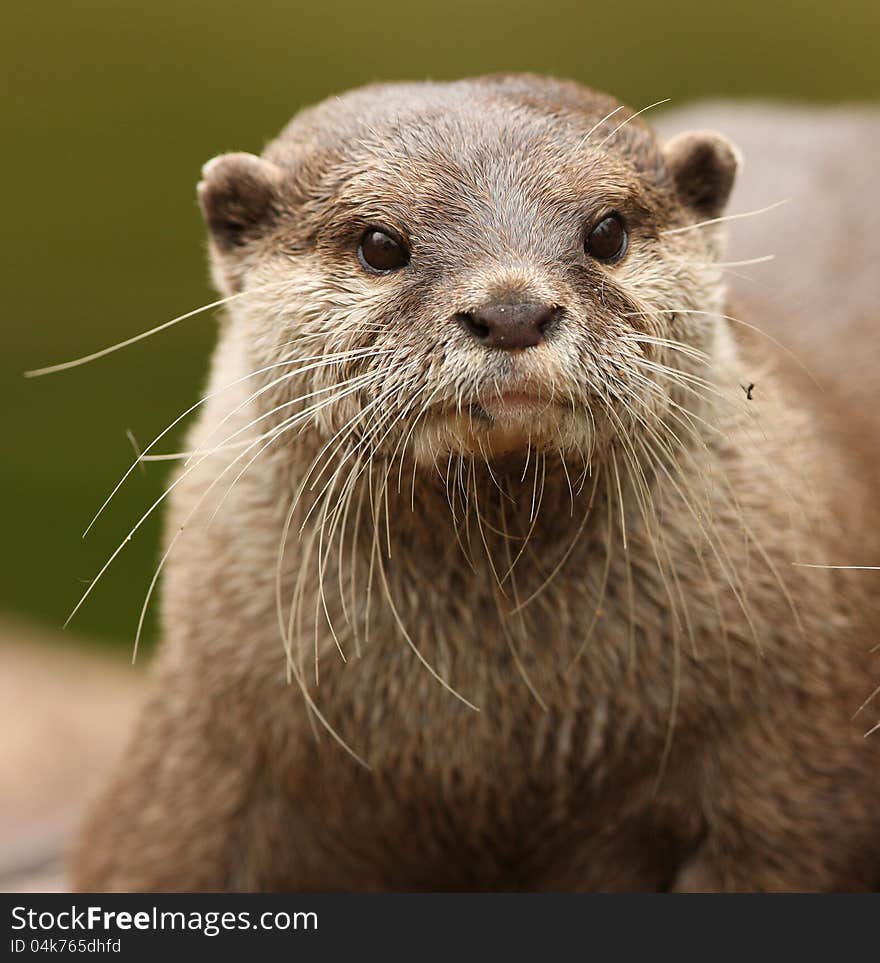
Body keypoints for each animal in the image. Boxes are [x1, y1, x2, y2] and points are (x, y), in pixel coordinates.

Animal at [70, 77, 880, 896]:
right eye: (380, 245)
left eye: (607, 232)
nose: (513, 310)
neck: (497, 748)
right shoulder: (198, 767)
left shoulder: (794, 767)